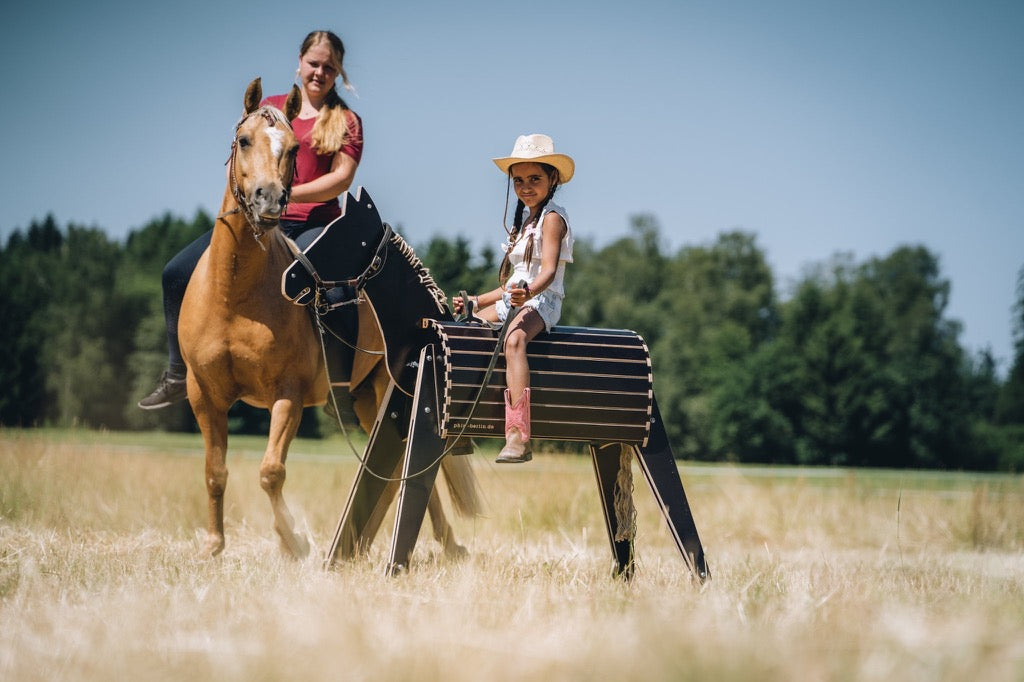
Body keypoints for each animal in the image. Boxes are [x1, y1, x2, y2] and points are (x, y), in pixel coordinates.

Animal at [178, 79, 477, 557]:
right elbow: (214, 472)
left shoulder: (288, 394)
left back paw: (446, 545)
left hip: (391, 392)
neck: (235, 296)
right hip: (369, 400)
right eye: (244, 141)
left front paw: (293, 540)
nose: (269, 199)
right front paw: (213, 545)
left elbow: (270, 472)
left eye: (293, 148)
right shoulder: (203, 395)